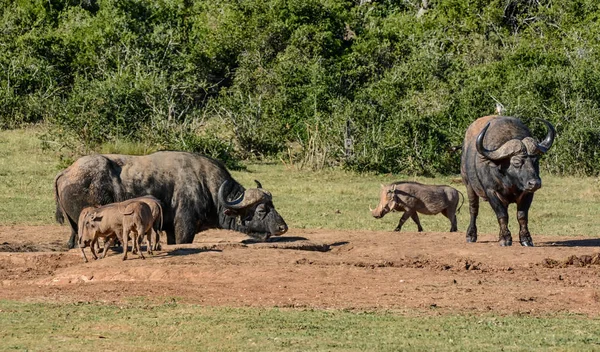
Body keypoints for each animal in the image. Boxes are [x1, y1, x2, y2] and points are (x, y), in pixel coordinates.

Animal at [55, 151, 290, 248]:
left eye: (273, 205)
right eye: (261, 210)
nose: (282, 227)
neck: (207, 187)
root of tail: (66, 172)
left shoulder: (169, 230)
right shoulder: (184, 228)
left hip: (74, 228)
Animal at [462, 114, 556, 246]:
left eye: (535, 160)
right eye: (516, 162)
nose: (535, 183)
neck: (510, 182)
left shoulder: (527, 192)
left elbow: (522, 215)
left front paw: (526, 239)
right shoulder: (491, 192)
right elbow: (502, 215)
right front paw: (505, 239)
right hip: (469, 185)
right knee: (473, 209)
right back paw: (471, 235)